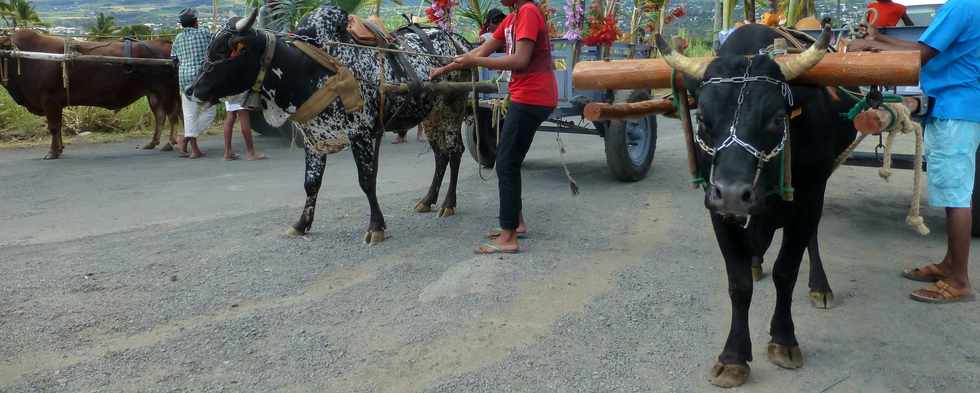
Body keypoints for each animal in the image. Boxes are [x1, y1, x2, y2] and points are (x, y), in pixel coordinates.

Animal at [0, 29, 181, 158]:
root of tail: (165, 42)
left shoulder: (49, 99)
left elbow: (53, 127)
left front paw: (52, 152)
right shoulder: (55, 103)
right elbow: (58, 127)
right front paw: (60, 149)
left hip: (167, 91)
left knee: (172, 116)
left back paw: (170, 143)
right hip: (153, 94)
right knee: (160, 116)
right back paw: (152, 142)